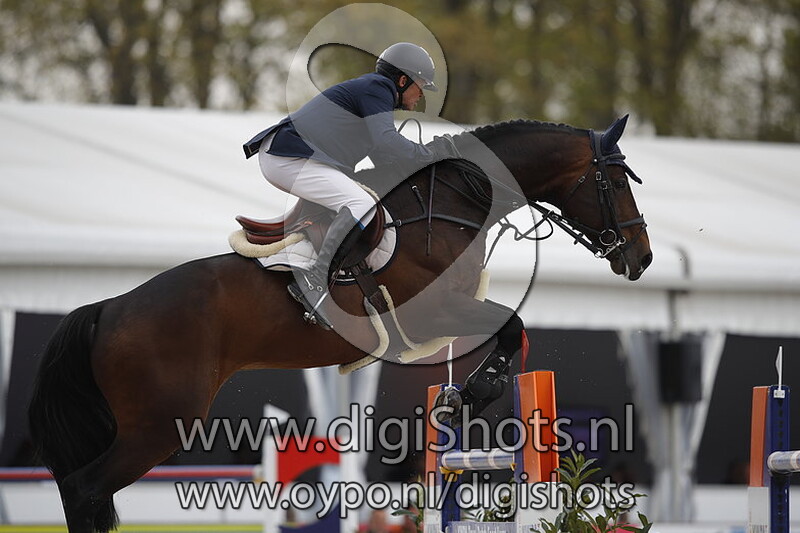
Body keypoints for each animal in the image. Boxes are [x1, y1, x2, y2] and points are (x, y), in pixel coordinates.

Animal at [28, 115, 651, 533]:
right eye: (617, 182)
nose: (640, 258)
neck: (456, 202)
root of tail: (108, 309)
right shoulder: (435, 309)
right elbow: (511, 326)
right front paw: (476, 392)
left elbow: (504, 331)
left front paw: (459, 397)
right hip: (159, 424)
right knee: (84, 488)